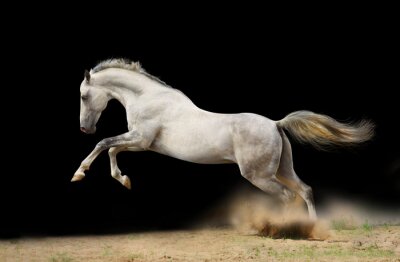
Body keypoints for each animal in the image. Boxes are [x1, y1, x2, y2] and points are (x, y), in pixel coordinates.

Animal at [72, 58, 376, 219]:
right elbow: (112, 150)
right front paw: (124, 180)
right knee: (305, 190)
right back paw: (312, 227)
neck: (148, 98)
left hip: (260, 175)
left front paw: (79, 174)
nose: (85, 128)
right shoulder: (143, 144)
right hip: (283, 169)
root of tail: (275, 124)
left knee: (289, 196)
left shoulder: (141, 139)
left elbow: (104, 144)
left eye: (84, 96)